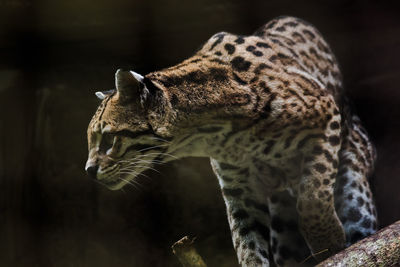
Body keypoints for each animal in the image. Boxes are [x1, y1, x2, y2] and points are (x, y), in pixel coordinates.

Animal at [85, 16, 378, 266]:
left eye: (108, 138)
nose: (88, 170)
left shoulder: (327, 117)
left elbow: (313, 198)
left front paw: (329, 241)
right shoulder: (239, 188)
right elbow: (246, 244)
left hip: (355, 174)